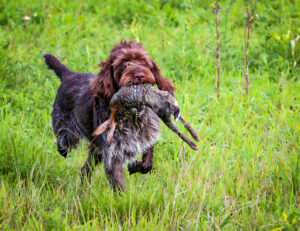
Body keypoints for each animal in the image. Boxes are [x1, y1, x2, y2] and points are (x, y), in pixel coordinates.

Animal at [44, 39, 176, 191]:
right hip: (69, 136)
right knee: (63, 146)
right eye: (123, 63)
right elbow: (119, 187)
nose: (139, 75)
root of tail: (69, 75)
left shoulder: (147, 138)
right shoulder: (112, 156)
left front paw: (135, 166)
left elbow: (147, 164)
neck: (132, 115)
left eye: (144, 61)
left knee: (85, 169)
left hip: (96, 150)